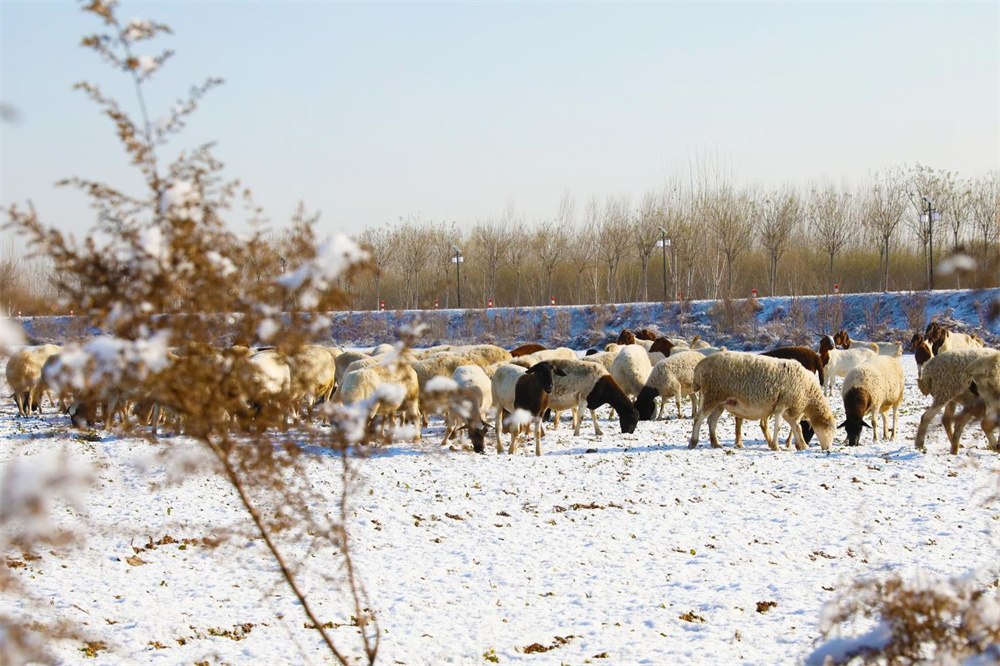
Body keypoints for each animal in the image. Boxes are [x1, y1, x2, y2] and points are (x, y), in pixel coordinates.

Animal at [688, 350, 836, 448]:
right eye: (829, 429)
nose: (828, 449)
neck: (808, 394)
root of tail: (699, 367)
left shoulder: (791, 410)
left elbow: (796, 427)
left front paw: (802, 445)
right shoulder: (782, 405)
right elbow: (779, 427)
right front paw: (776, 446)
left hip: (720, 401)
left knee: (712, 420)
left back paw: (715, 443)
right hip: (712, 395)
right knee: (699, 418)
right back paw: (693, 442)